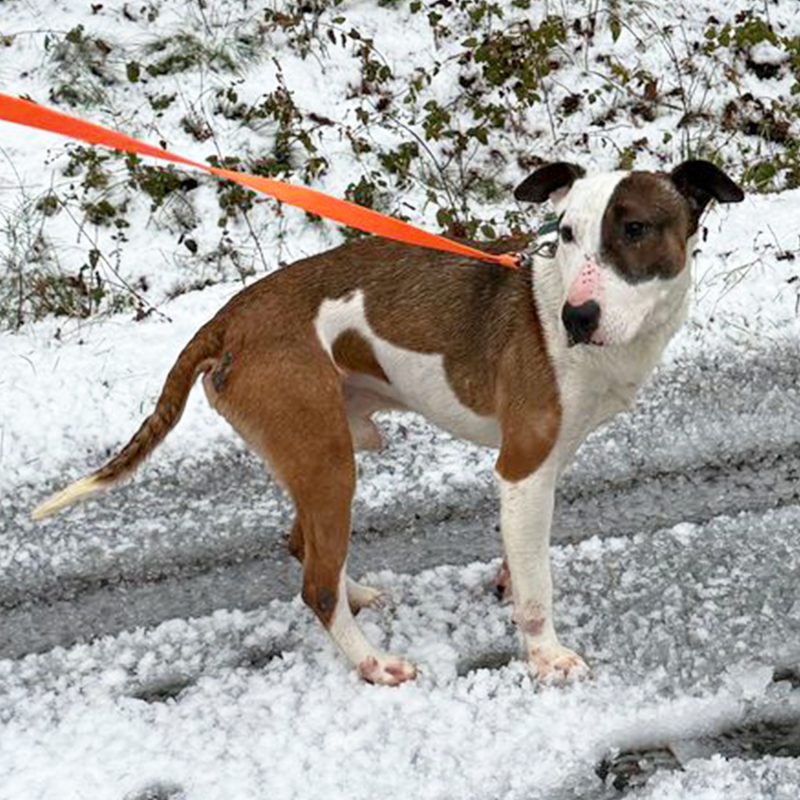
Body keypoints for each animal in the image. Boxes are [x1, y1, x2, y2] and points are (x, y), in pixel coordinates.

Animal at [31, 159, 744, 684]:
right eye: (566, 233)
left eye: (635, 229)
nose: (576, 319)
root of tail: (229, 318)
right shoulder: (522, 468)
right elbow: (538, 592)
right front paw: (546, 657)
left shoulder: (542, 469)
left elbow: (521, 558)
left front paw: (508, 580)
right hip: (327, 462)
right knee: (314, 586)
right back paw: (373, 661)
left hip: (319, 454)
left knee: (304, 549)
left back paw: (359, 598)